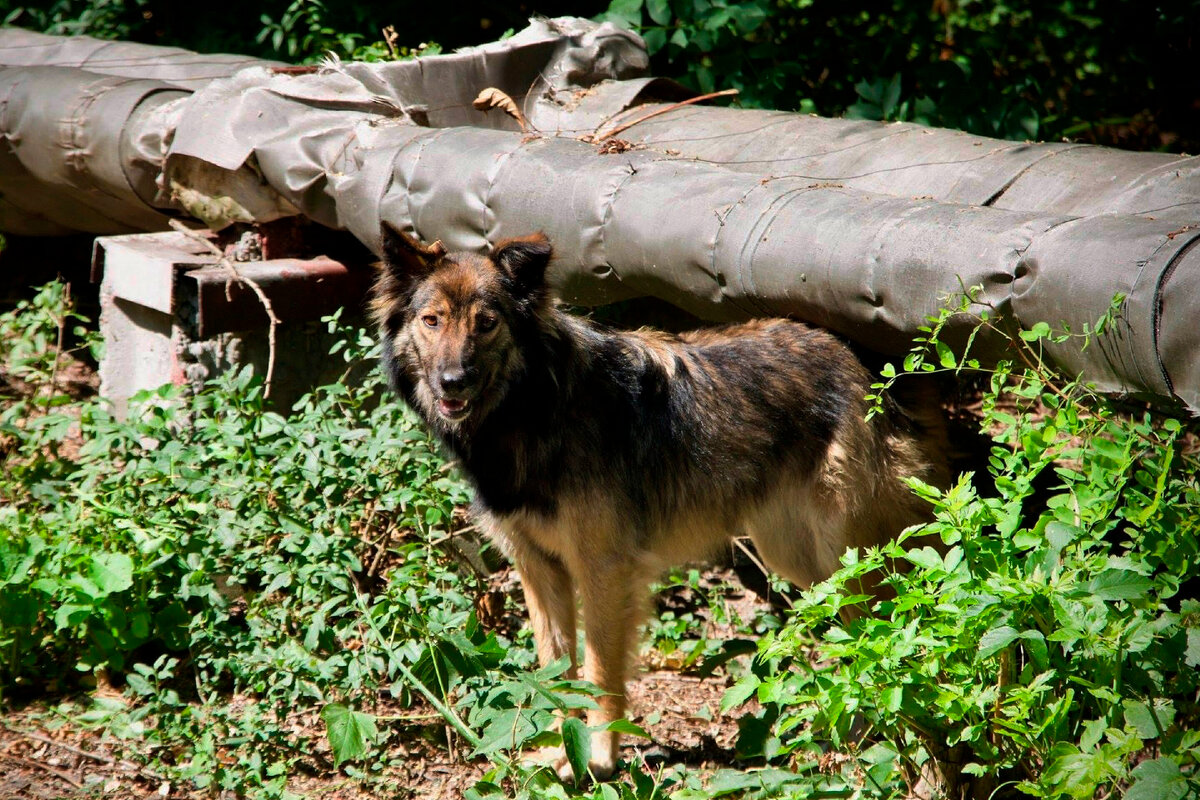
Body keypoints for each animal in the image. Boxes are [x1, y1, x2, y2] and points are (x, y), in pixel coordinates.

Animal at [369, 224, 950, 782]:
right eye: (432, 321)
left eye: (486, 323)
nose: (452, 382)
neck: (531, 409)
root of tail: (866, 366)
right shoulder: (539, 569)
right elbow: (556, 671)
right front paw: (559, 752)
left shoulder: (603, 569)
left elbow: (601, 671)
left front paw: (599, 759)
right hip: (799, 558)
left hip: (847, 559)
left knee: (898, 625)